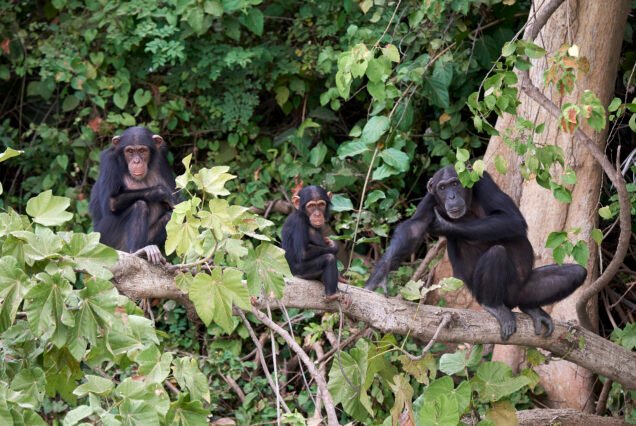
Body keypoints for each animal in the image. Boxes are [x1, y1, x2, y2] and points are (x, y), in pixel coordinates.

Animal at [87, 126, 176, 264]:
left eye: (142, 150)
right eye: (129, 151)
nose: (136, 161)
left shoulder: (162, 160)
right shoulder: (109, 161)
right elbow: (111, 202)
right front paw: (161, 192)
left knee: (169, 216)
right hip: (106, 242)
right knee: (139, 205)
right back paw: (138, 251)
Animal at [366, 166, 588, 340]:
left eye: (455, 183)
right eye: (442, 188)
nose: (452, 196)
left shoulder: (484, 182)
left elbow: (511, 218)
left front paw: (445, 225)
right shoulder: (430, 200)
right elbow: (413, 229)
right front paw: (380, 275)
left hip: (527, 289)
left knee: (575, 273)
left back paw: (531, 308)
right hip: (486, 292)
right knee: (497, 254)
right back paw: (494, 306)